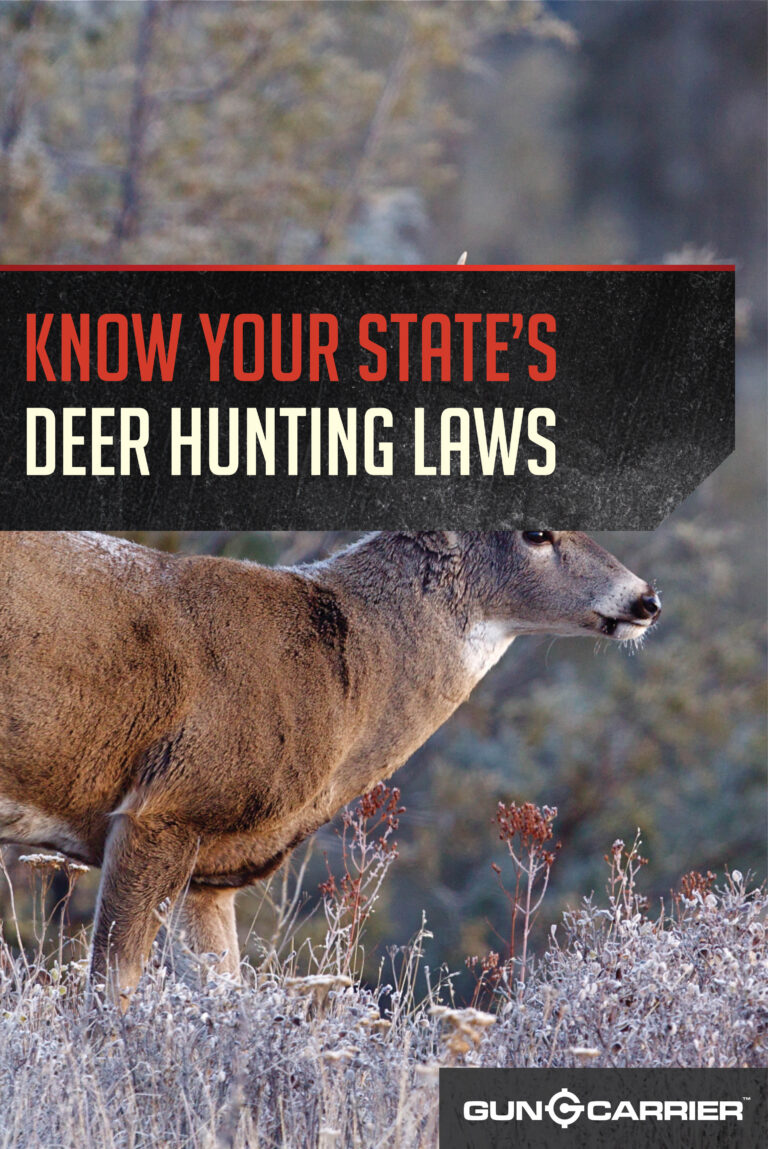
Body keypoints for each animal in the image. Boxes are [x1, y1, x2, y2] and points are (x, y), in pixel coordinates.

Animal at [0, 530, 660, 1008]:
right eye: (537, 531)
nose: (646, 599)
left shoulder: (209, 872)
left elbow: (221, 995)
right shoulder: (166, 808)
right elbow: (109, 994)